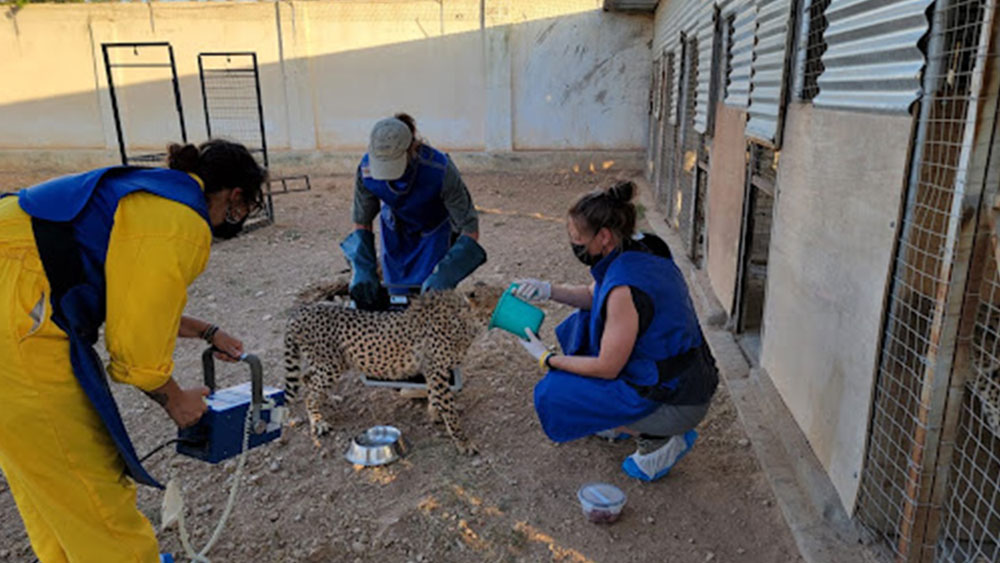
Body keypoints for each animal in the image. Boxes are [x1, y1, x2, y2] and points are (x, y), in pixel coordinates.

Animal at [280, 284, 500, 456]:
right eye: (497, 302)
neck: (463, 318)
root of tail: (301, 311)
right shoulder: (436, 370)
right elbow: (449, 409)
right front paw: (463, 442)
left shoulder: (433, 370)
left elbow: (434, 396)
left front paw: (434, 414)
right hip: (330, 365)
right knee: (309, 391)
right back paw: (318, 421)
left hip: (326, 363)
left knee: (307, 378)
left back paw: (329, 399)